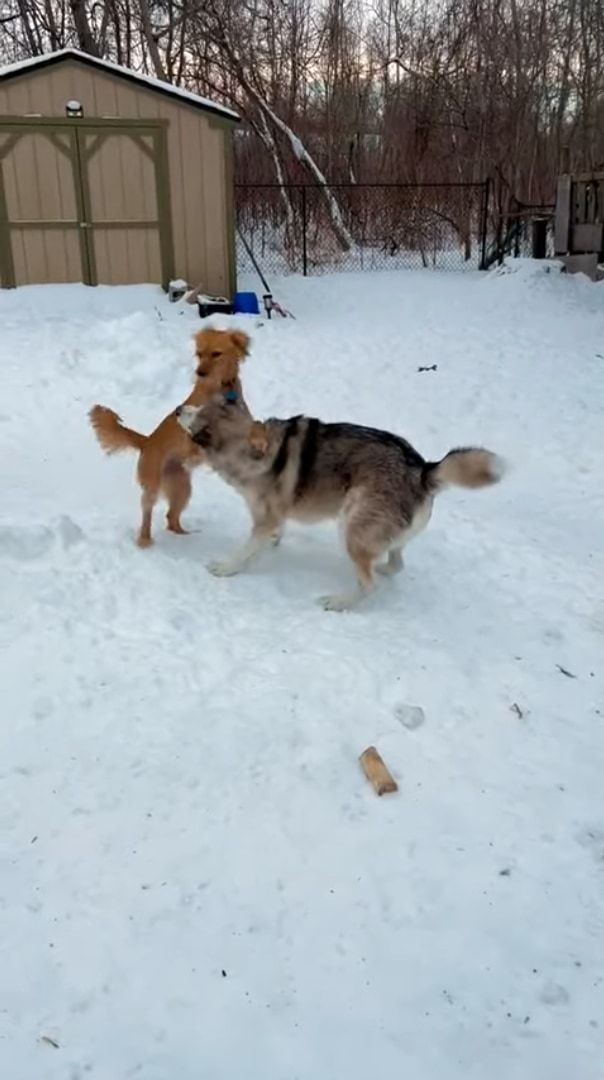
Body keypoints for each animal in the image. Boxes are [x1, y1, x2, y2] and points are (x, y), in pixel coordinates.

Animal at [88, 326, 249, 548]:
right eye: (199, 354)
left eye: (216, 354)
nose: (200, 372)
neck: (220, 390)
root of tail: (146, 441)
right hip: (152, 486)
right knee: (148, 512)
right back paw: (145, 540)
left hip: (182, 488)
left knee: (171, 517)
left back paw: (185, 536)